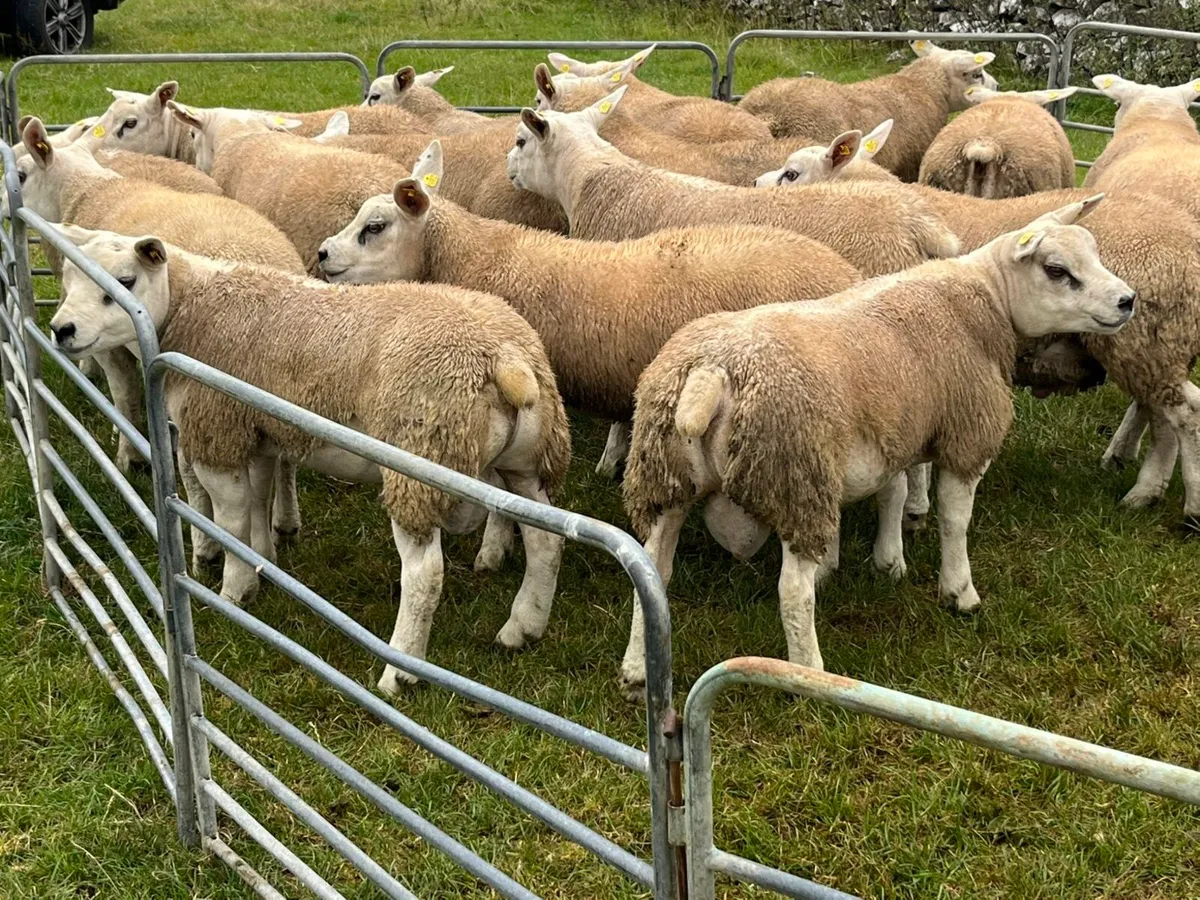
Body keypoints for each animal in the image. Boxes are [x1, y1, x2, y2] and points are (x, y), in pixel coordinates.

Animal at [49, 227, 570, 695]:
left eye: (126, 281)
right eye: (68, 281)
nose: (61, 330)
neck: (188, 306)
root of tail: (507, 358)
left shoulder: (218, 431)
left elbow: (230, 519)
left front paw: (233, 592)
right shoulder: (256, 432)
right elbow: (258, 502)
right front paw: (263, 561)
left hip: (419, 458)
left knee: (425, 575)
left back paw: (398, 673)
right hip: (526, 462)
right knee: (546, 541)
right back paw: (523, 628)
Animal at [617, 196, 1134, 697]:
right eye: (1056, 269)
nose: (1128, 301)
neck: (988, 298)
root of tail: (712, 373)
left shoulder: (893, 431)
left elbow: (895, 493)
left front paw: (888, 562)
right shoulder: (965, 435)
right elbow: (954, 521)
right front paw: (959, 593)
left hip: (667, 477)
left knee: (653, 572)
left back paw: (638, 671)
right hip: (794, 475)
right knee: (792, 592)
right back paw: (810, 675)